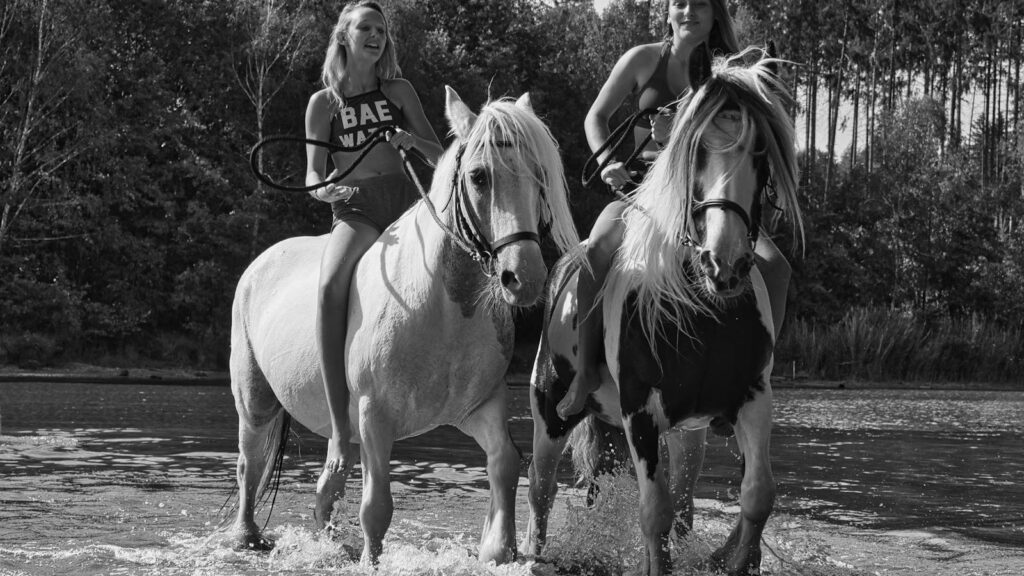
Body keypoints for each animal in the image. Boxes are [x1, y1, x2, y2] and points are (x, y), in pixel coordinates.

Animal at [227, 87, 578, 565]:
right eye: (479, 177)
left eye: (540, 175)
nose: (524, 276)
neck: (443, 309)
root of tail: (260, 264)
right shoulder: (375, 418)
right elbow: (377, 506)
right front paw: (370, 560)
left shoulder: (478, 407)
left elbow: (505, 462)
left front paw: (496, 549)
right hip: (255, 400)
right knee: (251, 464)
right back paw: (246, 537)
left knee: (325, 487)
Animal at [523, 52, 803, 576]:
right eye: (696, 150)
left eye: (761, 151)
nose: (724, 262)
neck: (701, 309)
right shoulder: (640, 408)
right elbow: (654, 511)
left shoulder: (753, 397)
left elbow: (757, 494)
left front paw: (735, 559)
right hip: (549, 411)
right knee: (540, 488)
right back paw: (529, 554)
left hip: (687, 434)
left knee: (683, 498)